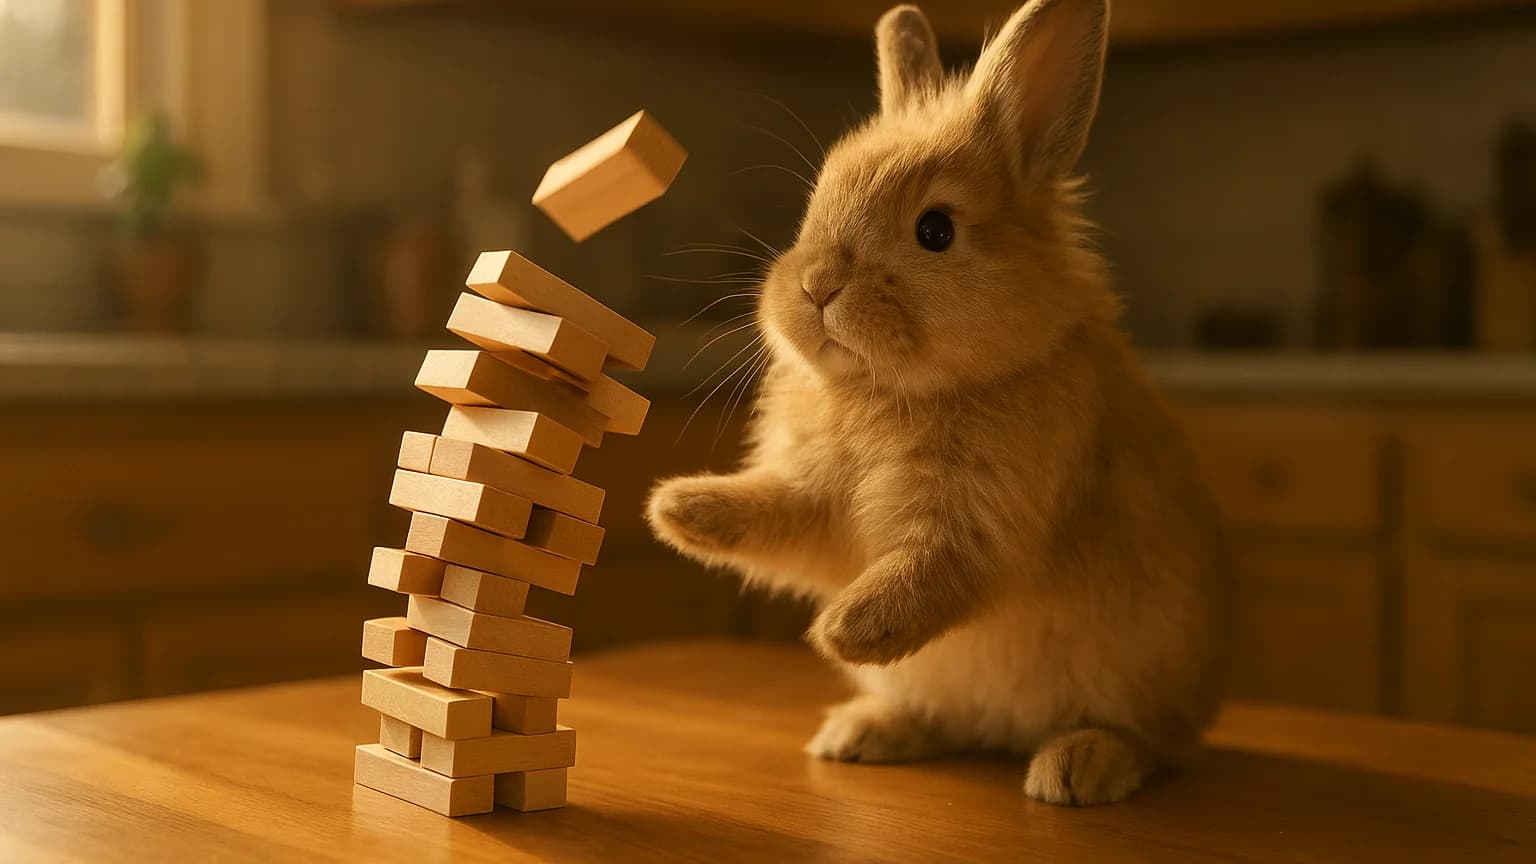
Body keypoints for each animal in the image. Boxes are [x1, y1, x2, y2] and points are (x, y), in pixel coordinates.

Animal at [646, 0, 1230, 806]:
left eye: (936, 230)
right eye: (815, 205)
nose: (816, 286)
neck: (891, 391)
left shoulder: (983, 521)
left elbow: (932, 573)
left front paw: (844, 629)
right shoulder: (816, 507)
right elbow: (777, 514)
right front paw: (679, 510)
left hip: (1145, 673)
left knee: (1154, 743)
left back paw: (1077, 766)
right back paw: (861, 734)